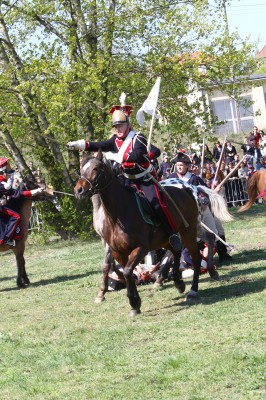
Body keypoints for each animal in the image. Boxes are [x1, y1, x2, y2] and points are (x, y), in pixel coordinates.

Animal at [73, 150, 220, 316]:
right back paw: (179, 281)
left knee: (195, 256)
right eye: (81, 169)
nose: (79, 190)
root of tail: (188, 190)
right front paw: (132, 302)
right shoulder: (117, 250)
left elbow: (127, 271)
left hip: (188, 231)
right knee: (179, 250)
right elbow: (122, 270)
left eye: (96, 168)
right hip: (168, 238)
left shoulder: (140, 248)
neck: (117, 215)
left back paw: (193, 289)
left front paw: (133, 301)